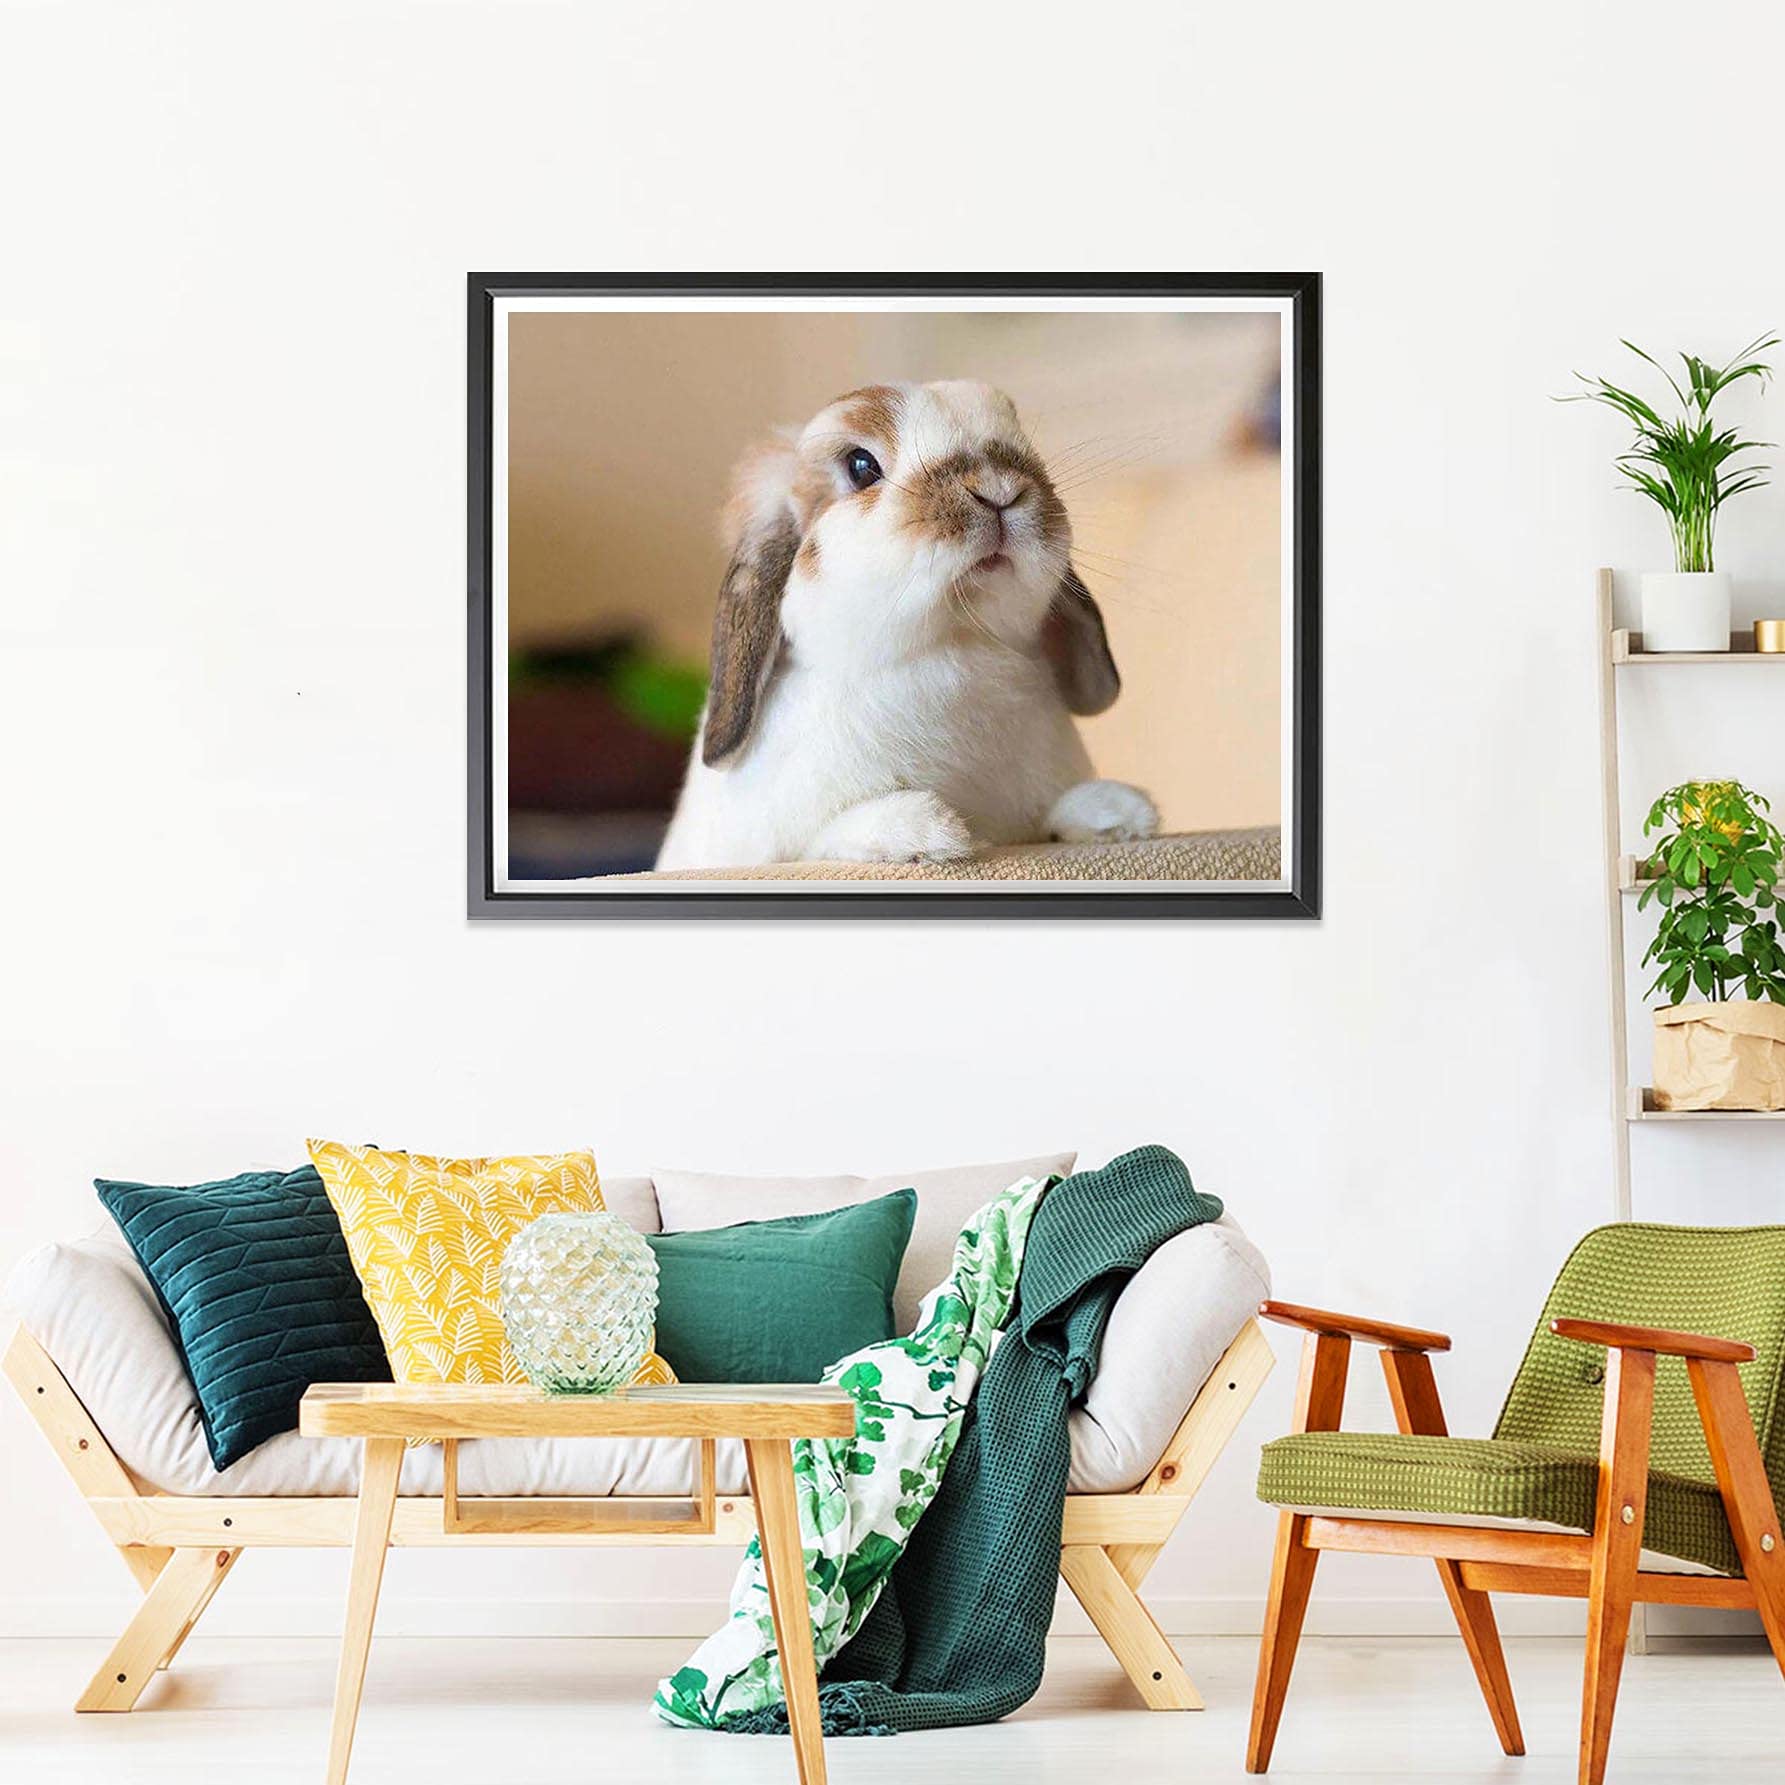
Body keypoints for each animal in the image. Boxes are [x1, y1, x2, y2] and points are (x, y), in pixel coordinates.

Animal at [654, 379, 1159, 871]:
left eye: (1020, 438)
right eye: (861, 466)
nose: (999, 489)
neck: (955, 641)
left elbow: (1055, 814)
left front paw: (1121, 812)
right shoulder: (790, 845)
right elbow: (828, 836)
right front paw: (927, 831)